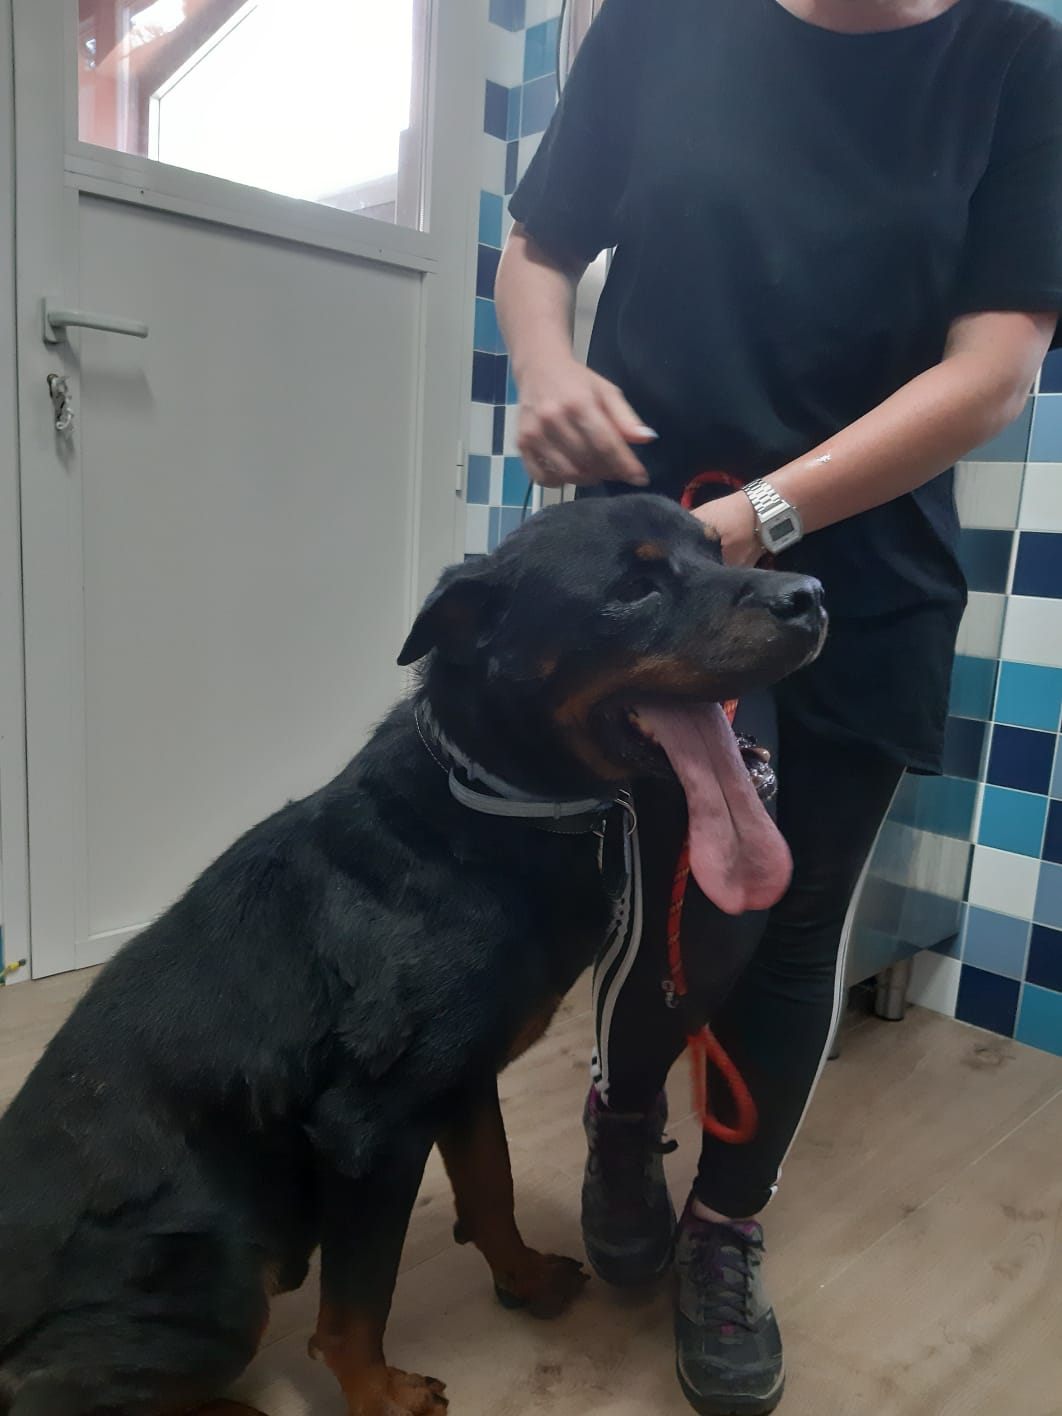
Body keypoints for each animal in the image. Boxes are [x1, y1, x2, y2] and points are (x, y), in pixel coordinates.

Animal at [0, 493, 824, 1416]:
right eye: (633, 587)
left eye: (719, 550)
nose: (810, 597)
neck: (492, 804)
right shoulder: (371, 1128)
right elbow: (358, 1301)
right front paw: (379, 1395)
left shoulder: (458, 1080)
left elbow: (492, 1185)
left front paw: (522, 1278)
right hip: (221, 1270)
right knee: (59, 1389)